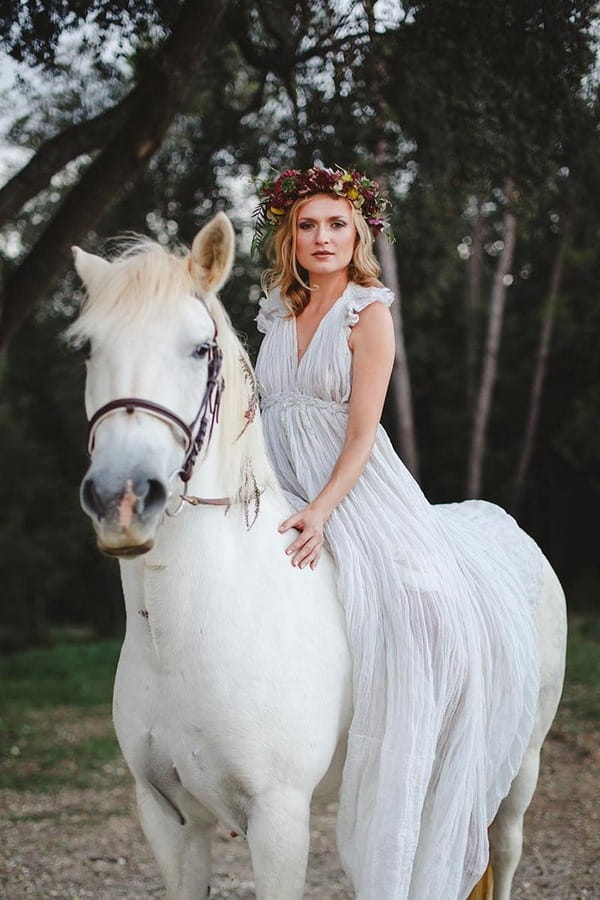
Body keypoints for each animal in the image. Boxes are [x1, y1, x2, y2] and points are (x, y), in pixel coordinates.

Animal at [70, 213, 568, 900]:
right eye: (89, 349)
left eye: (199, 349)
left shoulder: (279, 820)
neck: (188, 632)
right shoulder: (168, 818)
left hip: (522, 765)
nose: (121, 497)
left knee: (507, 849)